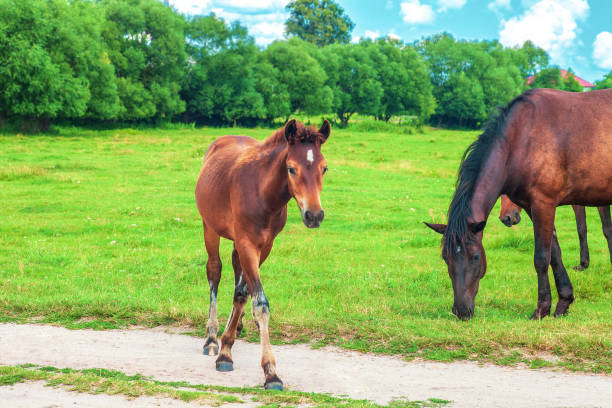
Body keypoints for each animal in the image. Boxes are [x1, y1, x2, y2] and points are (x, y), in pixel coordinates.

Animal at [195, 119, 330, 390]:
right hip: (210, 227)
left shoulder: (265, 246)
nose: (314, 215)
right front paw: (269, 372)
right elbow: (260, 303)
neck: (262, 193)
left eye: (324, 168)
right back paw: (212, 337)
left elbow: (242, 293)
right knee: (214, 270)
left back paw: (235, 327)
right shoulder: (247, 243)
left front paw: (230, 342)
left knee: (236, 272)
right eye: (291, 168)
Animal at [428, 89, 612, 322]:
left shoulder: (544, 204)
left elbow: (541, 257)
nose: (461, 311)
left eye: (476, 257)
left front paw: (541, 309)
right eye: (445, 257)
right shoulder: (533, 207)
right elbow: (555, 254)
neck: (521, 140)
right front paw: (563, 302)